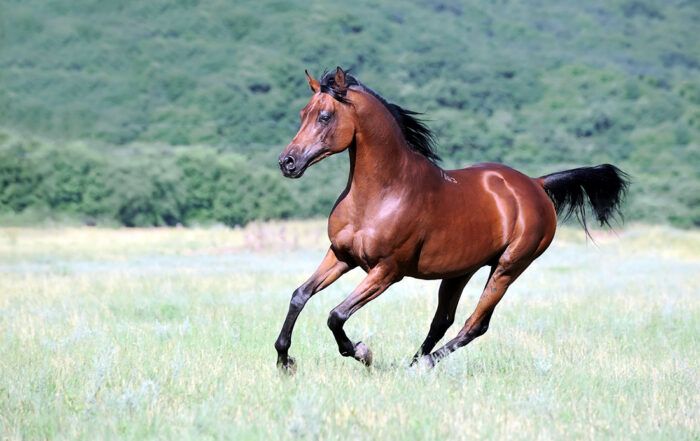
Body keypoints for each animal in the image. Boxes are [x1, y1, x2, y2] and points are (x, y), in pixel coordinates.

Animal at [274, 66, 628, 372]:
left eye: (325, 116)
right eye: (302, 114)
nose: (287, 162)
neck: (382, 193)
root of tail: (536, 184)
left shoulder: (387, 271)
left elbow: (336, 314)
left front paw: (362, 352)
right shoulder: (341, 255)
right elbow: (299, 295)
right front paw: (284, 361)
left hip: (508, 267)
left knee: (476, 324)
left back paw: (424, 364)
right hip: (460, 270)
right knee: (442, 320)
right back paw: (414, 363)